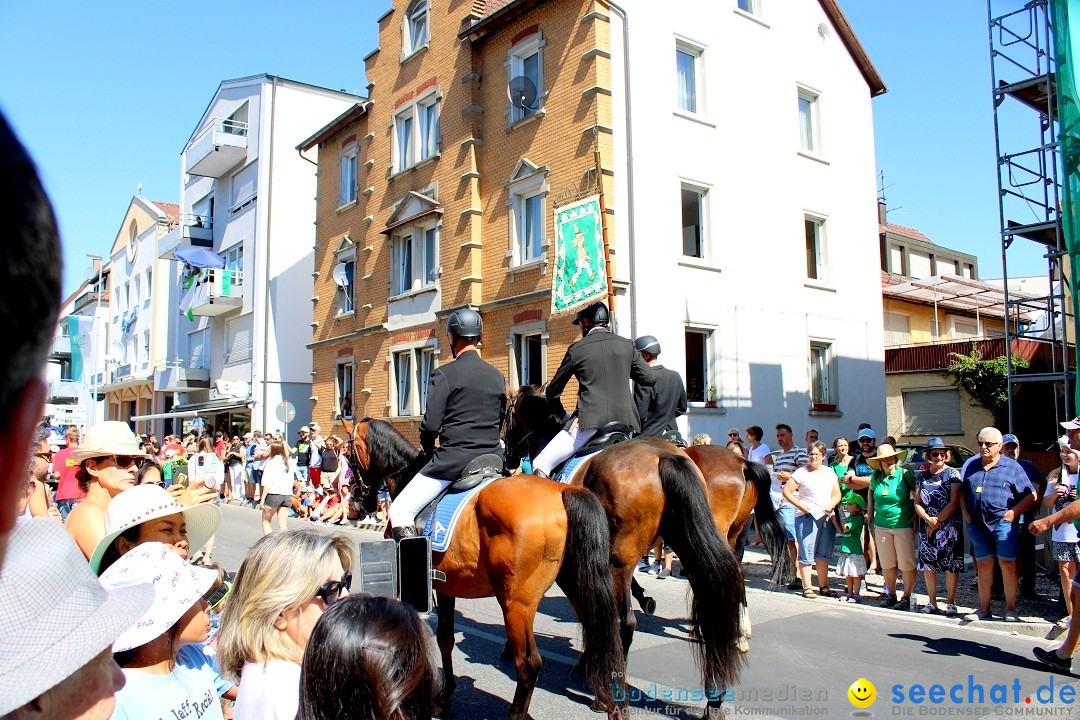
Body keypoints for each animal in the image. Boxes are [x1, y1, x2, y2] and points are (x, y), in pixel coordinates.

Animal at [336, 416, 626, 720]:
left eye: (348, 455)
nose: (359, 499)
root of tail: (563, 491)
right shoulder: (446, 586)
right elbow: (445, 638)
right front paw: (446, 694)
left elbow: (438, 637)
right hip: (575, 584)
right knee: (602, 638)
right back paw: (608, 702)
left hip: (516, 603)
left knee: (529, 665)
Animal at [505, 386, 751, 712]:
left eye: (507, 414)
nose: (507, 459)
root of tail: (665, 456)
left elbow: (592, 609)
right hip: (688, 543)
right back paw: (715, 698)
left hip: (625, 557)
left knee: (625, 621)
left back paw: (607, 695)